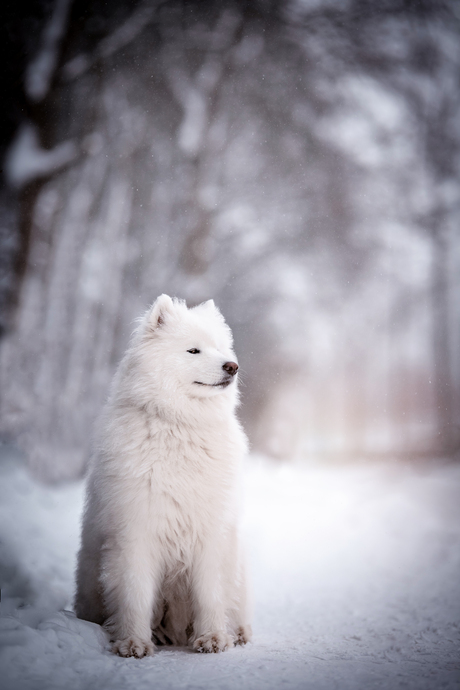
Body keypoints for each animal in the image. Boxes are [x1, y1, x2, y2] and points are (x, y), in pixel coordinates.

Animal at [74, 292, 252, 652]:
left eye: (221, 349)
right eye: (193, 350)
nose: (232, 366)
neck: (180, 425)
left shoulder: (211, 533)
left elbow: (210, 593)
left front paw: (212, 637)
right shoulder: (136, 530)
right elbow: (135, 594)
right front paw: (132, 642)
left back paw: (237, 633)